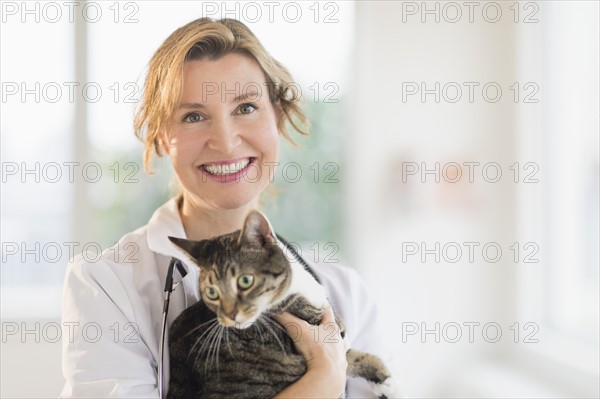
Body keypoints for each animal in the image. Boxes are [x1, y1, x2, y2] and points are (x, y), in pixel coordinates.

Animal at [166, 211, 398, 398]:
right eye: (212, 292)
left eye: (245, 281)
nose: (229, 316)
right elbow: (348, 355)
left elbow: (355, 354)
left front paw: (386, 381)